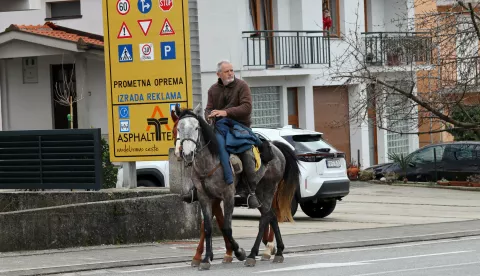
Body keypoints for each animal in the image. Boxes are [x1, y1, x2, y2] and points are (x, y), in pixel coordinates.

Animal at [172, 105, 300, 270]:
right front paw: (205, 259)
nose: (187, 154)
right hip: (259, 194)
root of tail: (276, 148)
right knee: (270, 215)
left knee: (265, 219)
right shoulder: (204, 196)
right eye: (178, 129)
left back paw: (252, 255)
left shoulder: (227, 196)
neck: (209, 163)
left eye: (196, 128)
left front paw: (238, 252)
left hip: (269, 189)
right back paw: (278, 252)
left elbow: (226, 227)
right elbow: (207, 227)